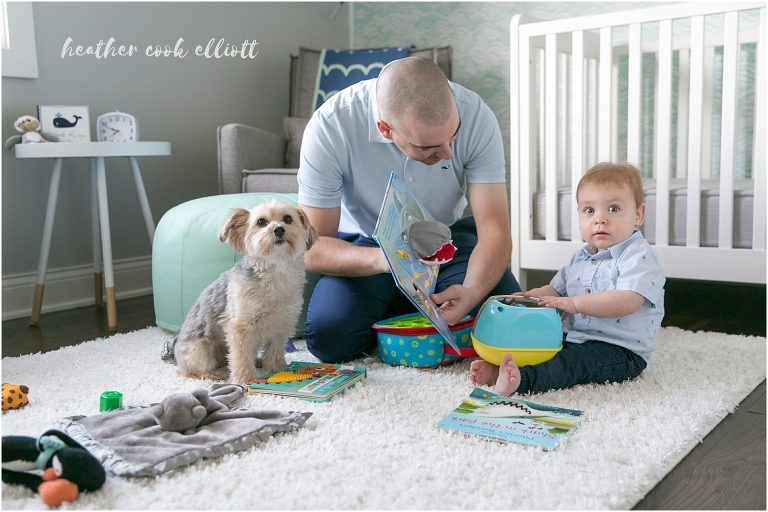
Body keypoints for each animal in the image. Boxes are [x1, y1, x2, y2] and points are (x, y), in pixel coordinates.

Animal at [162, 202, 318, 386]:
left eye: (288, 219)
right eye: (261, 222)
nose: (279, 229)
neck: (276, 272)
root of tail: (174, 349)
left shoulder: (279, 326)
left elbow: (274, 352)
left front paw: (276, 369)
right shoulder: (240, 329)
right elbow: (241, 358)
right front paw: (245, 381)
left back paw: (257, 361)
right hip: (201, 351)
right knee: (189, 372)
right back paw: (213, 374)